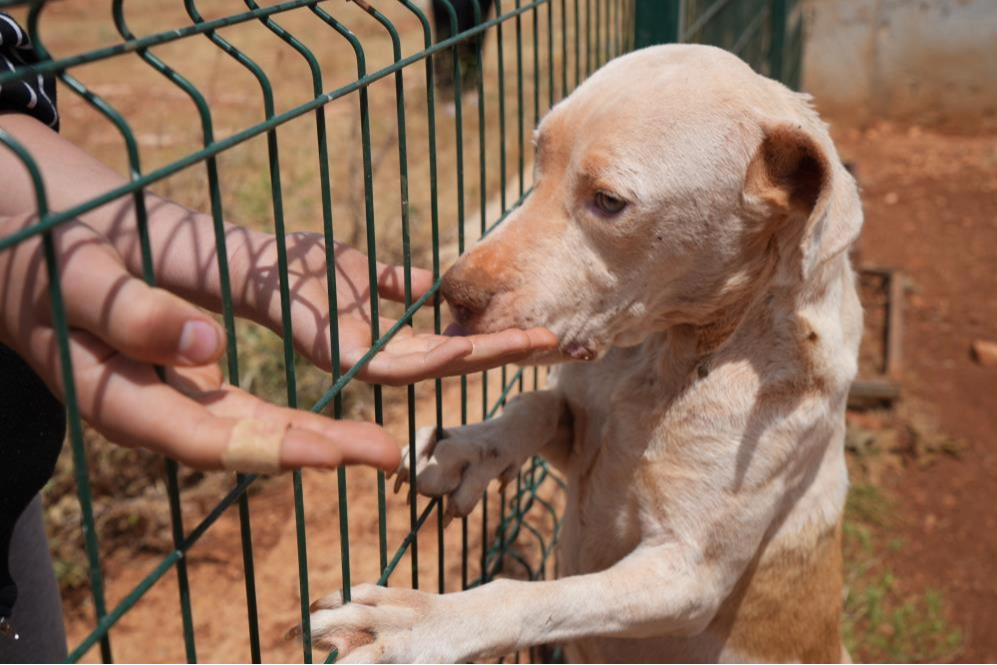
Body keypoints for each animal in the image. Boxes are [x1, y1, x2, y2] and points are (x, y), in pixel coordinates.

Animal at [298, 44, 864, 660]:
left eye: (610, 201)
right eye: (536, 157)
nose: (454, 294)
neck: (665, 357)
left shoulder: (687, 575)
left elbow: (531, 596)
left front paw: (418, 623)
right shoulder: (579, 432)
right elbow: (536, 406)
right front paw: (461, 449)